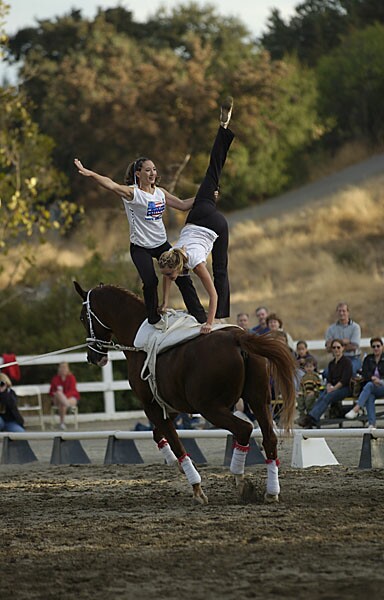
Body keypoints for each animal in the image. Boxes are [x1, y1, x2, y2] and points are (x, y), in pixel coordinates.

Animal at [75, 282, 296, 502]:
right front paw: (177, 465)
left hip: (210, 408)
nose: (93, 357)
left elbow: (175, 442)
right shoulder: (171, 407)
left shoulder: (151, 406)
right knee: (269, 437)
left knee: (244, 429)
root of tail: (238, 337)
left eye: (83, 317)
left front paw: (196, 487)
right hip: (259, 401)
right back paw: (271, 491)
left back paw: (240, 480)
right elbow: (158, 434)